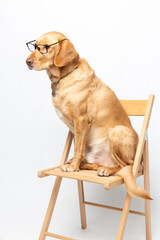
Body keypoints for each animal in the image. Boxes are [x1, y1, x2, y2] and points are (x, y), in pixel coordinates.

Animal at [26, 32, 151, 201]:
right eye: (34, 46)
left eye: (45, 47)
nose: (27, 62)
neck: (64, 78)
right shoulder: (74, 128)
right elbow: (77, 148)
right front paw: (74, 164)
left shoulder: (81, 120)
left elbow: (78, 148)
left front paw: (73, 167)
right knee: (102, 164)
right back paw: (90, 165)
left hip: (118, 132)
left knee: (128, 166)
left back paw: (106, 170)